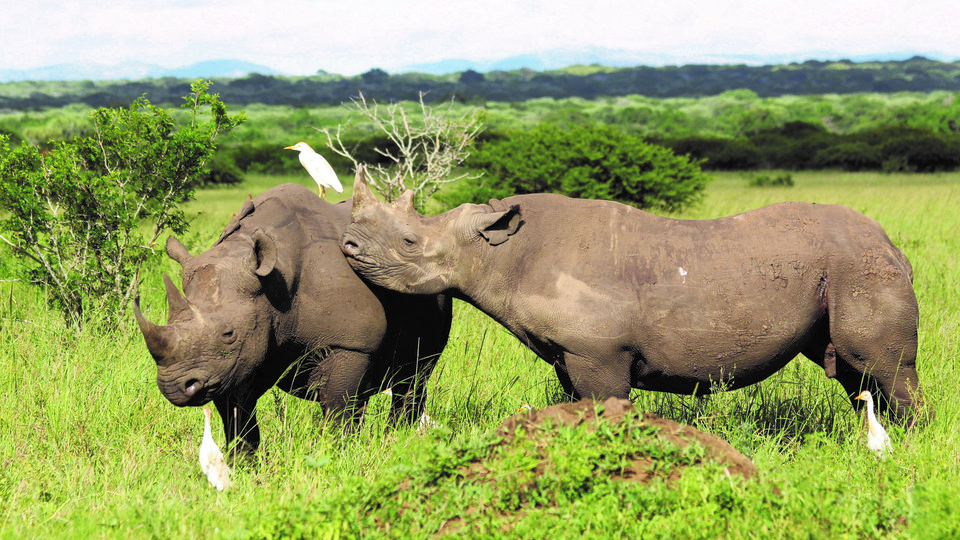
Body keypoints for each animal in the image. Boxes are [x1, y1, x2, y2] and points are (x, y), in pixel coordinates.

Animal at [134, 183, 452, 453]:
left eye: (228, 334)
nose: (175, 387)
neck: (272, 285)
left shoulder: (351, 344)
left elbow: (337, 406)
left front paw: (335, 456)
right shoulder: (229, 364)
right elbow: (237, 417)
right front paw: (242, 467)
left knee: (414, 376)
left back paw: (399, 439)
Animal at [340, 172, 921, 421]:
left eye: (410, 243)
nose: (348, 246)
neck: (499, 252)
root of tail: (890, 241)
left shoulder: (599, 353)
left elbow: (608, 406)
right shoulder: (570, 354)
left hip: (861, 268)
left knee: (884, 368)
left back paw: (910, 439)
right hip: (845, 270)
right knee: (854, 375)